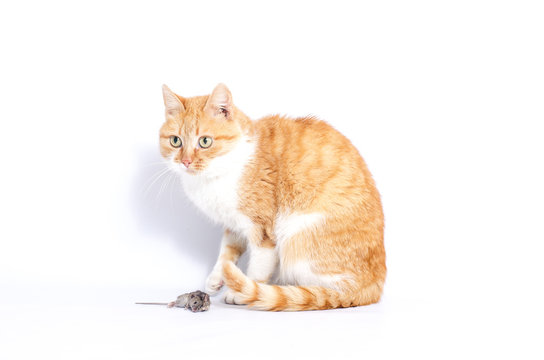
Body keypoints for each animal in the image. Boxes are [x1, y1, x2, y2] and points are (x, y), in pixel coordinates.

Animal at [159, 83, 384, 310]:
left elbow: (258, 266)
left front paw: (242, 291)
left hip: (297, 239)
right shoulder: (234, 224)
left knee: (326, 291)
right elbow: (227, 251)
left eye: (205, 141)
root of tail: (374, 286)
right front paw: (216, 278)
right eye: (175, 141)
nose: (185, 161)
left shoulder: (263, 230)